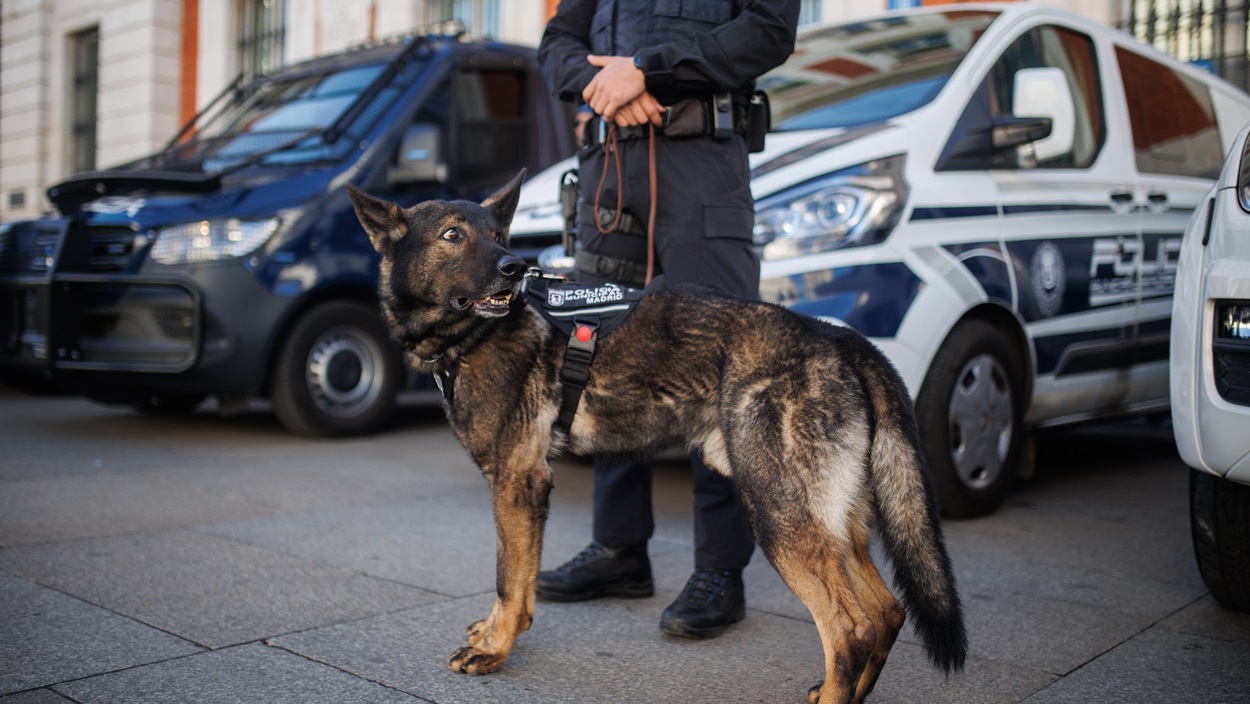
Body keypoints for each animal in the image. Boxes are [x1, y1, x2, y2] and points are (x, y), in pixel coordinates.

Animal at [347, 172, 970, 704]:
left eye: (499, 235)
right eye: (453, 235)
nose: (515, 266)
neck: (471, 336)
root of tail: (840, 339)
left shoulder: (517, 486)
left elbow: (509, 578)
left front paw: (495, 650)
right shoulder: (521, 490)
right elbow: (513, 580)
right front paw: (494, 634)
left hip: (779, 517)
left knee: (848, 628)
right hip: (833, 526)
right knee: (886, 613)